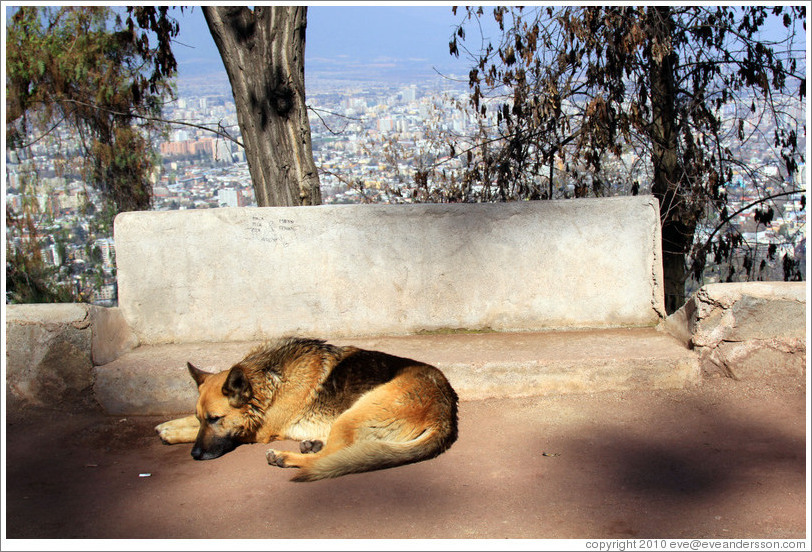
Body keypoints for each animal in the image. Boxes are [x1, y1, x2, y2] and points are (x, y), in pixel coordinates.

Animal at [152, 334, 456, 480]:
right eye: (203, 418)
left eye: (216, 419)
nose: (195, 455)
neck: (269, 377)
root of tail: (445, 413)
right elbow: (186, 423)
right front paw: (169, 425)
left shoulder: (259, 431)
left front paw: (172, 433)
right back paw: (311, 445)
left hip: (353, 413)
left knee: (330, 458)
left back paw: (286, 457)